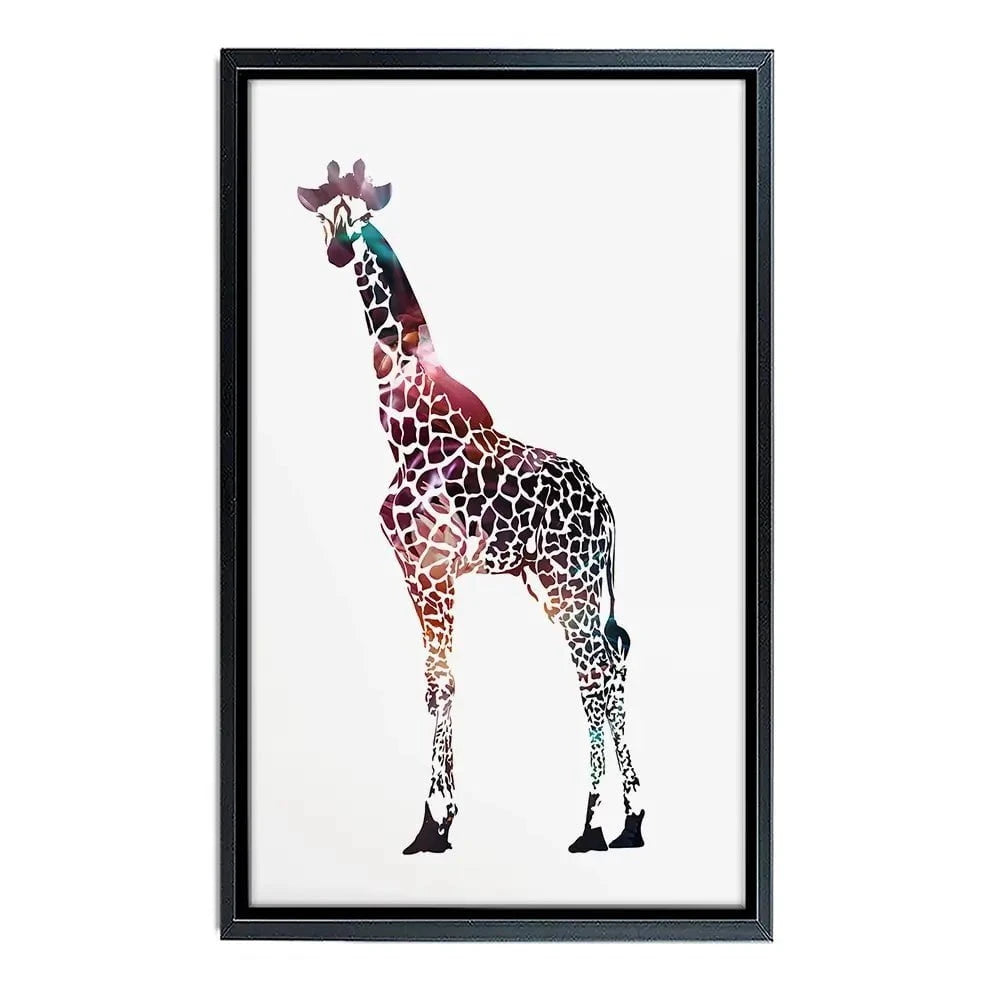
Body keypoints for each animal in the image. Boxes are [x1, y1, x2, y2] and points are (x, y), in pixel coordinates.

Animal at [297, 159, 645, 854]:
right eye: (325, 214)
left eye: (364, 215)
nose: (338, 251)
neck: (406, 428)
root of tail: (608, 507)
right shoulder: (415, 571)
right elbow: (436, 683)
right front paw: (437, 820)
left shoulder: (434, 570)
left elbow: (443, 682)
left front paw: (435, 820)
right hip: (560, 588)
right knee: (612, 668)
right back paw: (631, 821)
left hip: (572, 585)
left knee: (594, 678)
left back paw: (593, 824)